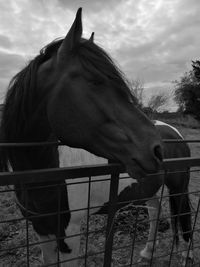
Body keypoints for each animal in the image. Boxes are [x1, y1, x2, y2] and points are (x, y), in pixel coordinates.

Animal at [0, 7, 162, 266]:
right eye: (95, 81)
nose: (156, 149)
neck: (42, 177)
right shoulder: (41, 228)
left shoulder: (70, 232)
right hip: (152, 192)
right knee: (155, 213)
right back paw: (147, 252)